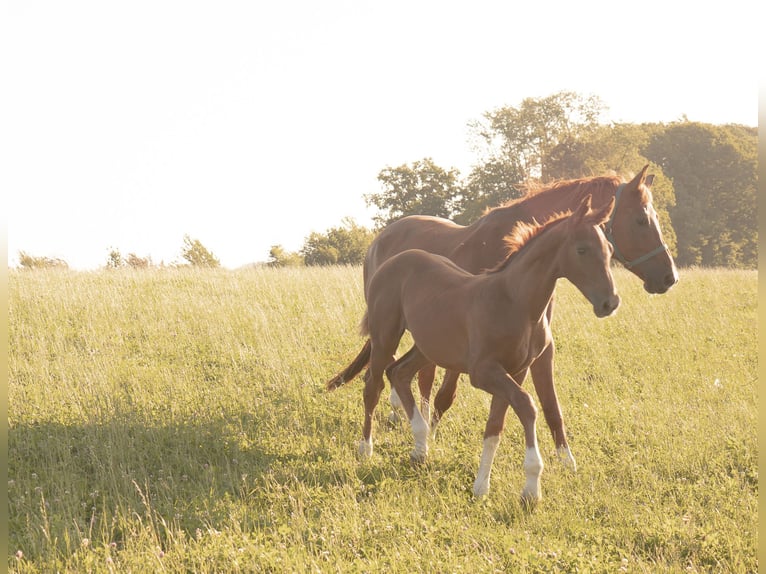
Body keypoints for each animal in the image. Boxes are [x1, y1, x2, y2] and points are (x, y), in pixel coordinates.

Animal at [327, 165, 677, 471]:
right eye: (642, 220)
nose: (669, 277)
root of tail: (381, 238)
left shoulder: (537, 350)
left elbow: (550, 404)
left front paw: (566, 460)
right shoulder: (473, 349)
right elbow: (446, 396)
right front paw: (434, 437)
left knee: (407, 374)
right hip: (392, 330)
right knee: (385, 378)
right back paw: (384, 437)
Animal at [360, 195, 619, 503]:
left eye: (610, 249)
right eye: (582, 249)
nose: (610, 303)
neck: (515, 302)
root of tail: (391, 261)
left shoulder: (515, 372)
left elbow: (495, 426)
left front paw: (481, 485)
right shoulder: (483, 372)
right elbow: (527, 405)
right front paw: (531, 487)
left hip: (428, 347)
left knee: (398, 373)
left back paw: (420, 448)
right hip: (385, 337)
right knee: (373, 385)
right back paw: (366, 448)